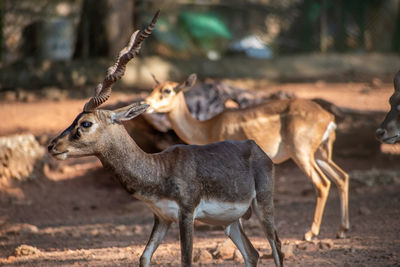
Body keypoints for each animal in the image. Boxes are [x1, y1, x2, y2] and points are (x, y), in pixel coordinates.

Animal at [47, 11, 284, 267]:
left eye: (86, 123)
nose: (52, 146)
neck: (159, 169)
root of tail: (257, 148)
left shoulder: (186, 214)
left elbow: (186, 260)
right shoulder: (161, 218)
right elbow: (144, 256)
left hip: (263, 206)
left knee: (277, 246)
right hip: (230, 223)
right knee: (252, 253)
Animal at [145, 74, 350, 243]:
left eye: (167, 90)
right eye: (154, 87)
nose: (146, 103)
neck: (207, 128)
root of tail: (329, 117)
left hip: (302, 153)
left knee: (322, 183)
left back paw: (310, 233)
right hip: (321, 154)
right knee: (342, 177)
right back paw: (341, 230)